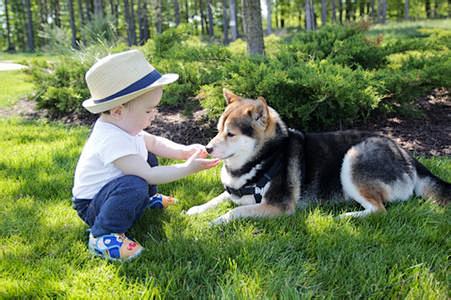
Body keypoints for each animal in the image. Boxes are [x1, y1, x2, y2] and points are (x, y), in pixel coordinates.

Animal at [185, 88, 450, 224]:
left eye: (230, 134)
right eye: (218, 129)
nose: (207, 149)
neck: (265, 158)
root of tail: (405, 153)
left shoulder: (278, 206)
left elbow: (234, 211)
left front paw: (214, 222)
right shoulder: (234, 192)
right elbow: (217, 199)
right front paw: (196, 209)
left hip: (353, 157)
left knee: (379, 210)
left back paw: (346, 216)